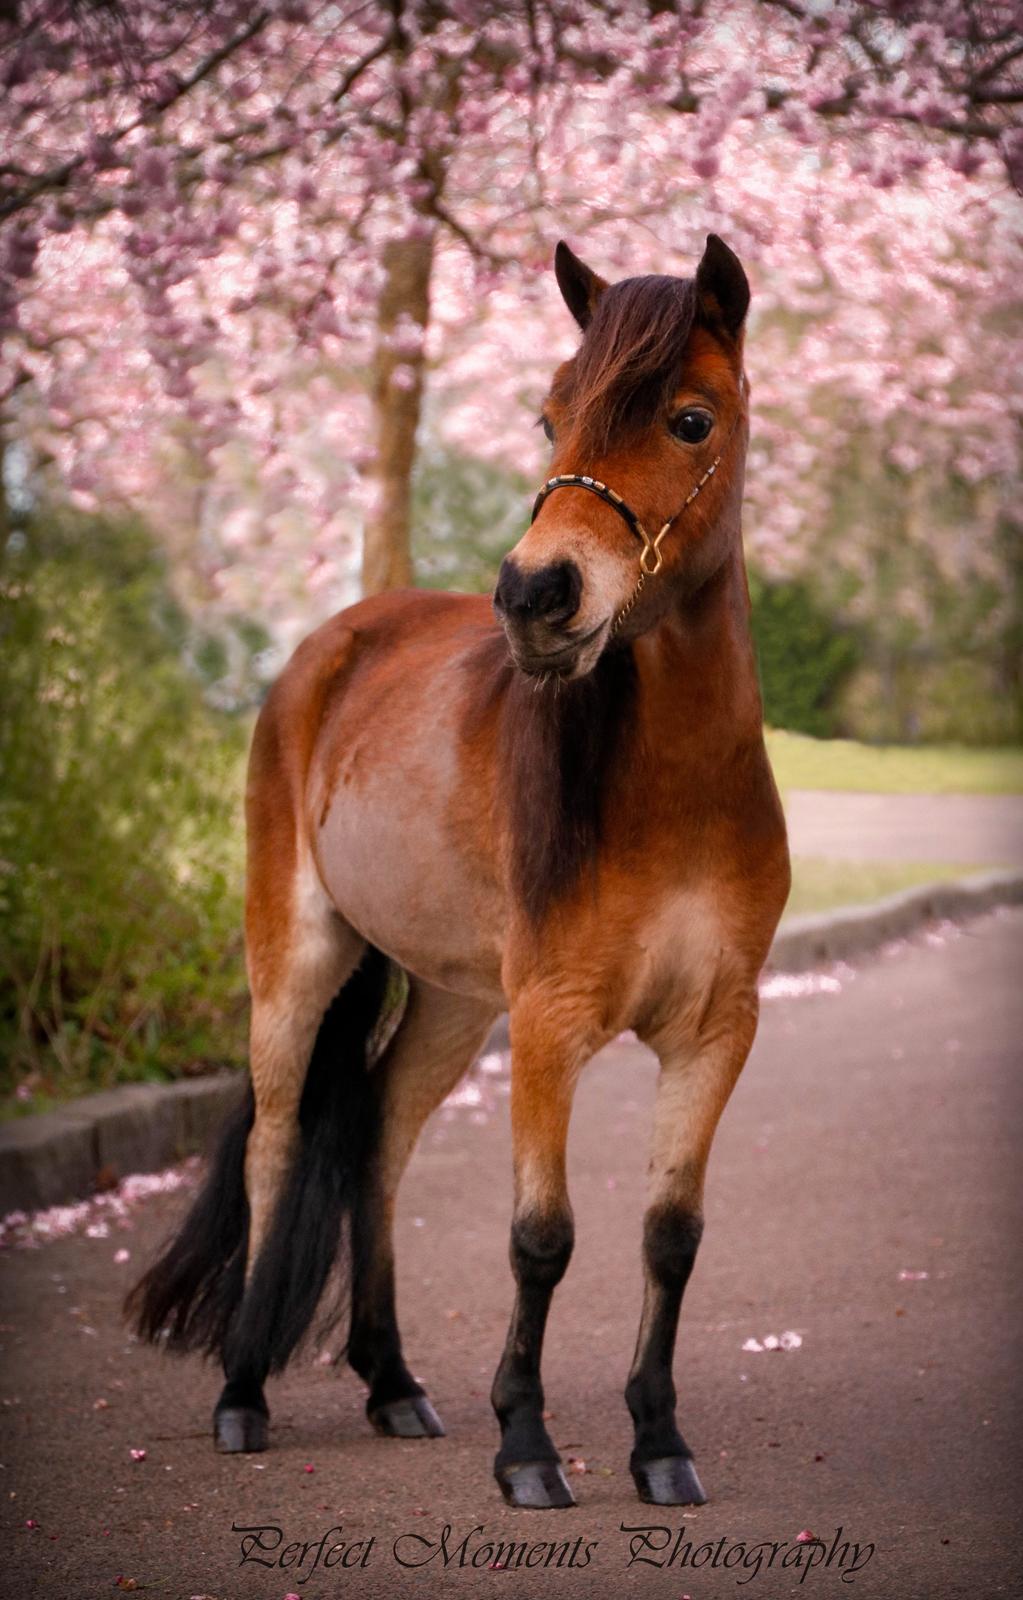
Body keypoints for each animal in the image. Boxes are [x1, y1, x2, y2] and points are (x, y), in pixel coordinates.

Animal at [124, 232, 787, 1504]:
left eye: (690, 420)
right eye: (550, 416)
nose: (535, 594)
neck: (678, 794)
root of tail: (329, 646)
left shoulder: (717, 1029)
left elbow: (670, 1238)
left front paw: (658, 1442)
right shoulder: (551, 1022)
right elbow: (542, 1237)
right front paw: (525, 1445)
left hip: (448, 996)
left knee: (379, 1135)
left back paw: (392, 1382)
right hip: (299, 961)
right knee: (279, 1146)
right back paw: (244, 1389)